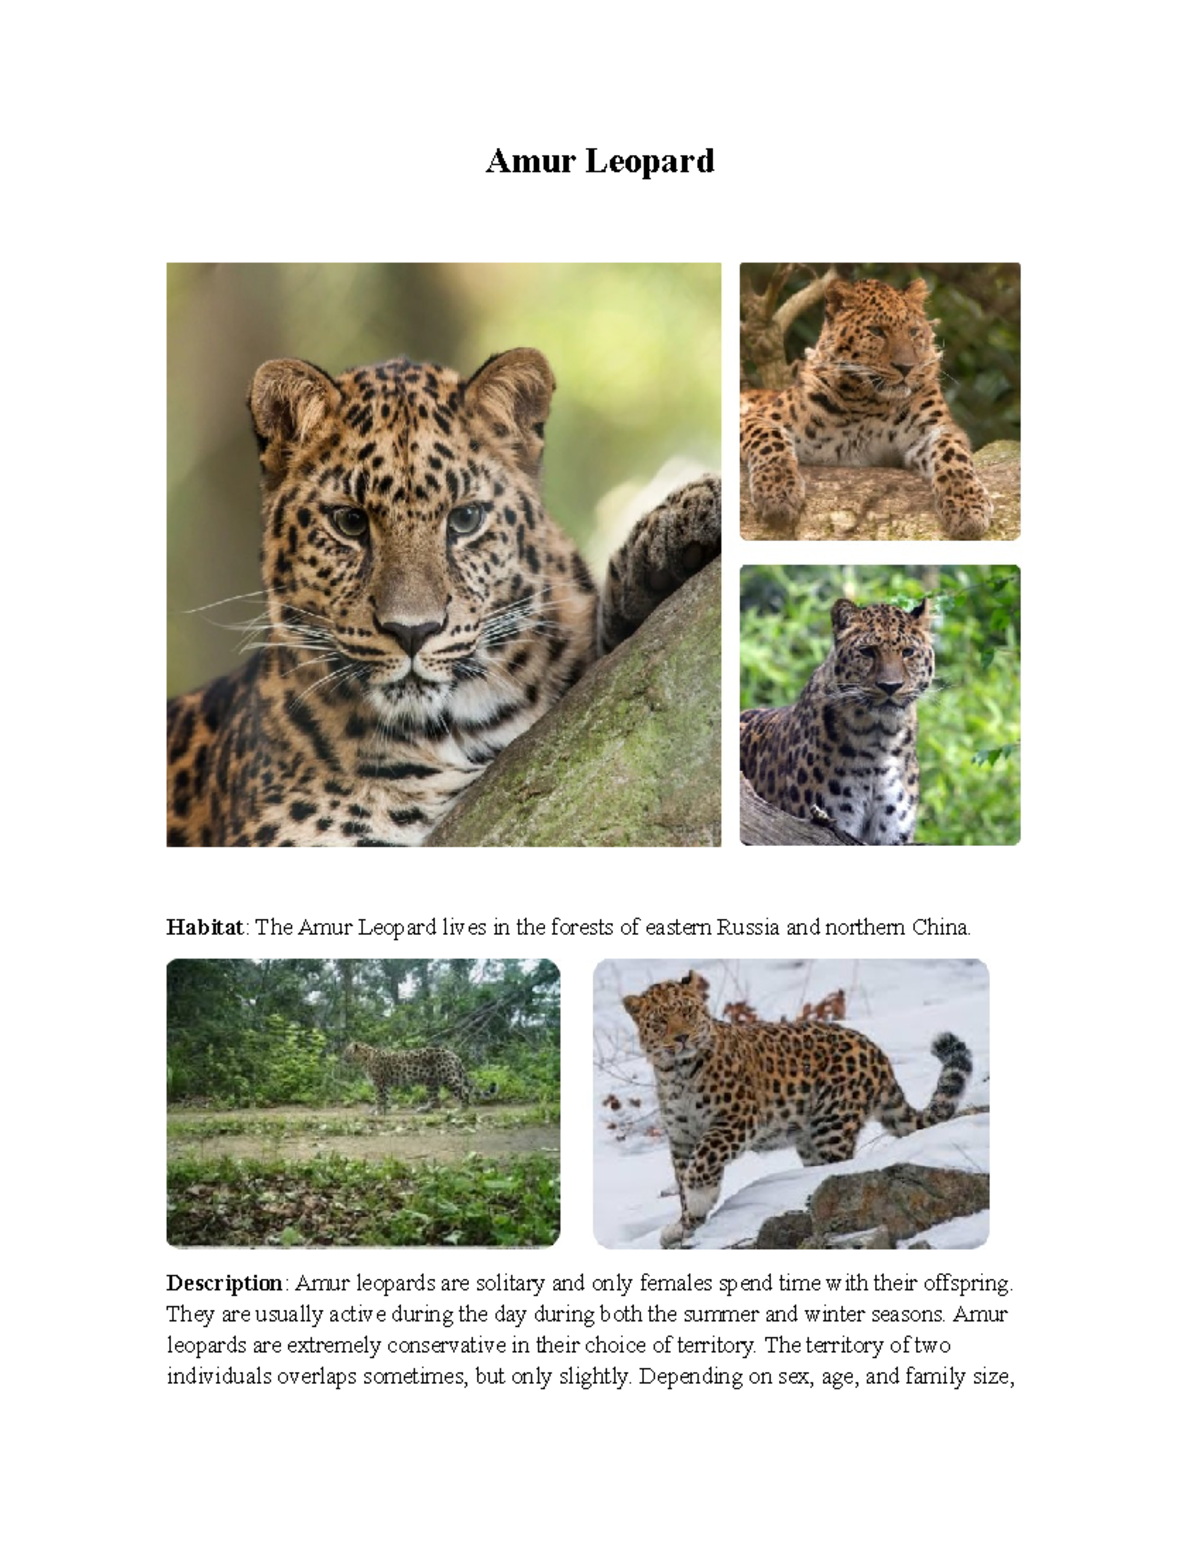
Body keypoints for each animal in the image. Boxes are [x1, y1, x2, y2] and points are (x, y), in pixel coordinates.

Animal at [343, 1041, 497, 1113]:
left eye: (347, 1051)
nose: (342, 1057)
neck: (365, 1059)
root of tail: (454, 1055)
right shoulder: (385, 1084)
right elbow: (386, 1097)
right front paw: (385, 1110)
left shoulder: (379, 1083)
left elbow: (379, 1098)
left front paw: (378, 1111)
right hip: (431, 1082)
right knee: (434, 1099)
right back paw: (424, 1109)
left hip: (449, 1078)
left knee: (463, 1093)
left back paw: (460, 1110)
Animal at [622, 971, 972, 1247]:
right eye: (660, 1021)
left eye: (688, 1012)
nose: (682, 1037)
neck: (675, 1073)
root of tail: (878, 1055)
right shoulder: (681, 1137)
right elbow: (683, 1175)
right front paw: (685, 1225)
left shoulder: (737, 1119)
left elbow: (702, 1162)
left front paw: (698, 1201)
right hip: (809, 1139)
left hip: (831, 1125)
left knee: (841, 1166)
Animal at [740, 277, 993, 538]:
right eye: (876, 331)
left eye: (913, 332)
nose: (906, 367)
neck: (869, 403)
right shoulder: (757, 418)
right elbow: (770, 439)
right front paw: (777, 492)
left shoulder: (932, 431)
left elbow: (953, 455)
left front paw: (968, 507)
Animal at [740, 597, 934, 845]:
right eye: (867, 652)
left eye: (908, 652)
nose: (890, 686)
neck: (880, 738)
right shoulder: (828, 825)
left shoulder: (892, 836)